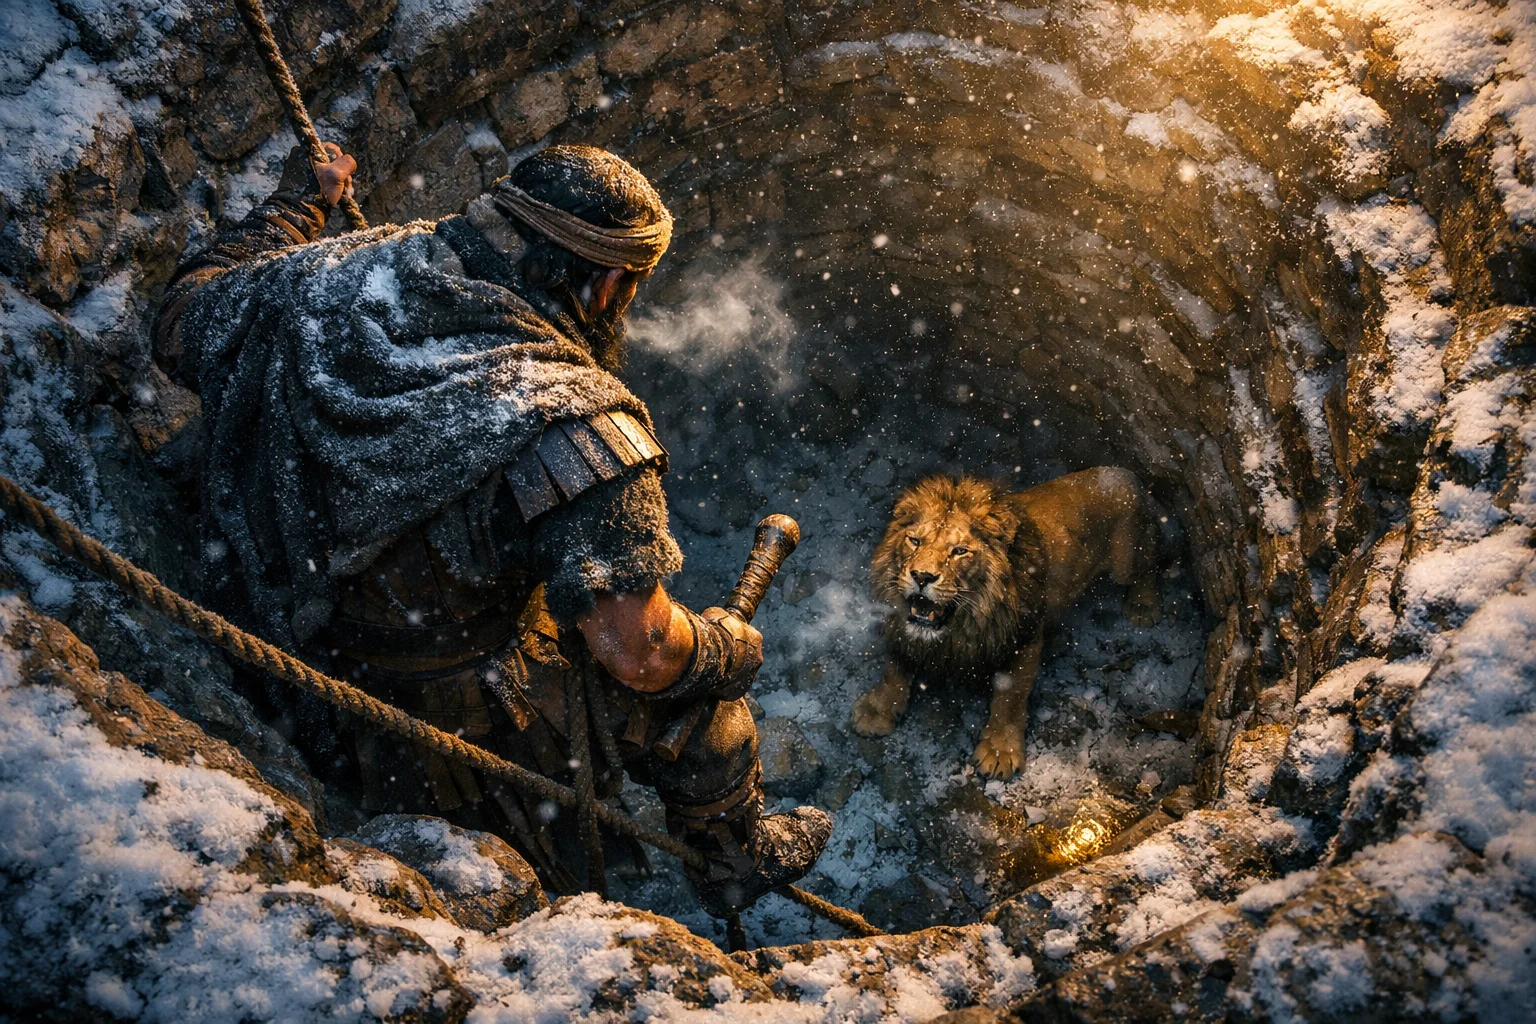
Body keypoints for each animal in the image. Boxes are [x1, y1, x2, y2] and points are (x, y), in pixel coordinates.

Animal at [850, 468, 1162, 779]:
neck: (962, 624)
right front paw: (876, 710)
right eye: (914, 541)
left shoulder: (1023, 637)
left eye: (959, 551)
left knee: (1151, 564)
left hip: (1126, 559)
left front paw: (1000, 751)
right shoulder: (900, 626)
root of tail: (1123, 472)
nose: (922, 576)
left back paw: (1142, 606)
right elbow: (894, 666)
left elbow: (1009, 696)